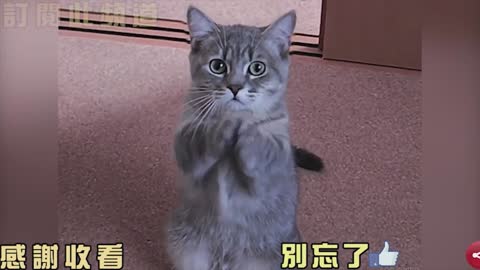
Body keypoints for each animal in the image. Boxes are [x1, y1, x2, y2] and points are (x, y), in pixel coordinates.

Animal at [165, 6, 308, 270]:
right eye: (217, 65)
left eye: (257, 68)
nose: (234, 87)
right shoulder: (185, 140)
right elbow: (201, 140)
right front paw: (225, 125)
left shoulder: (277, 155)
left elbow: (262, 148)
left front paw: (247, 130)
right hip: (184, 245)